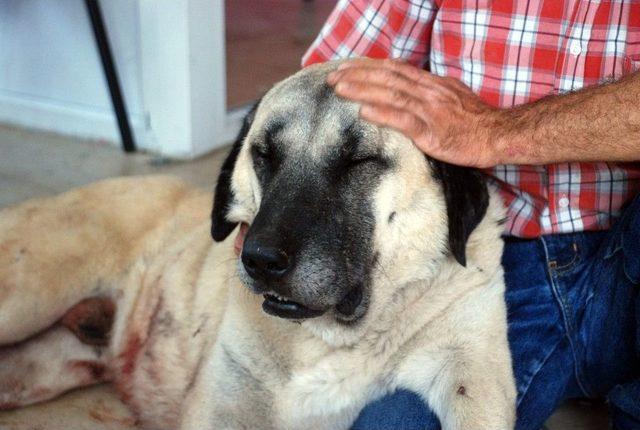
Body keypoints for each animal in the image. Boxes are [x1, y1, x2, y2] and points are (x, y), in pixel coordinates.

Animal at [0, 61, 516, 430]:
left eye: (358, 161)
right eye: (264, 155)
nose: (260, 260)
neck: (335, 340)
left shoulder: (472, 370)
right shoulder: (227, 402)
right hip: (26, 301)